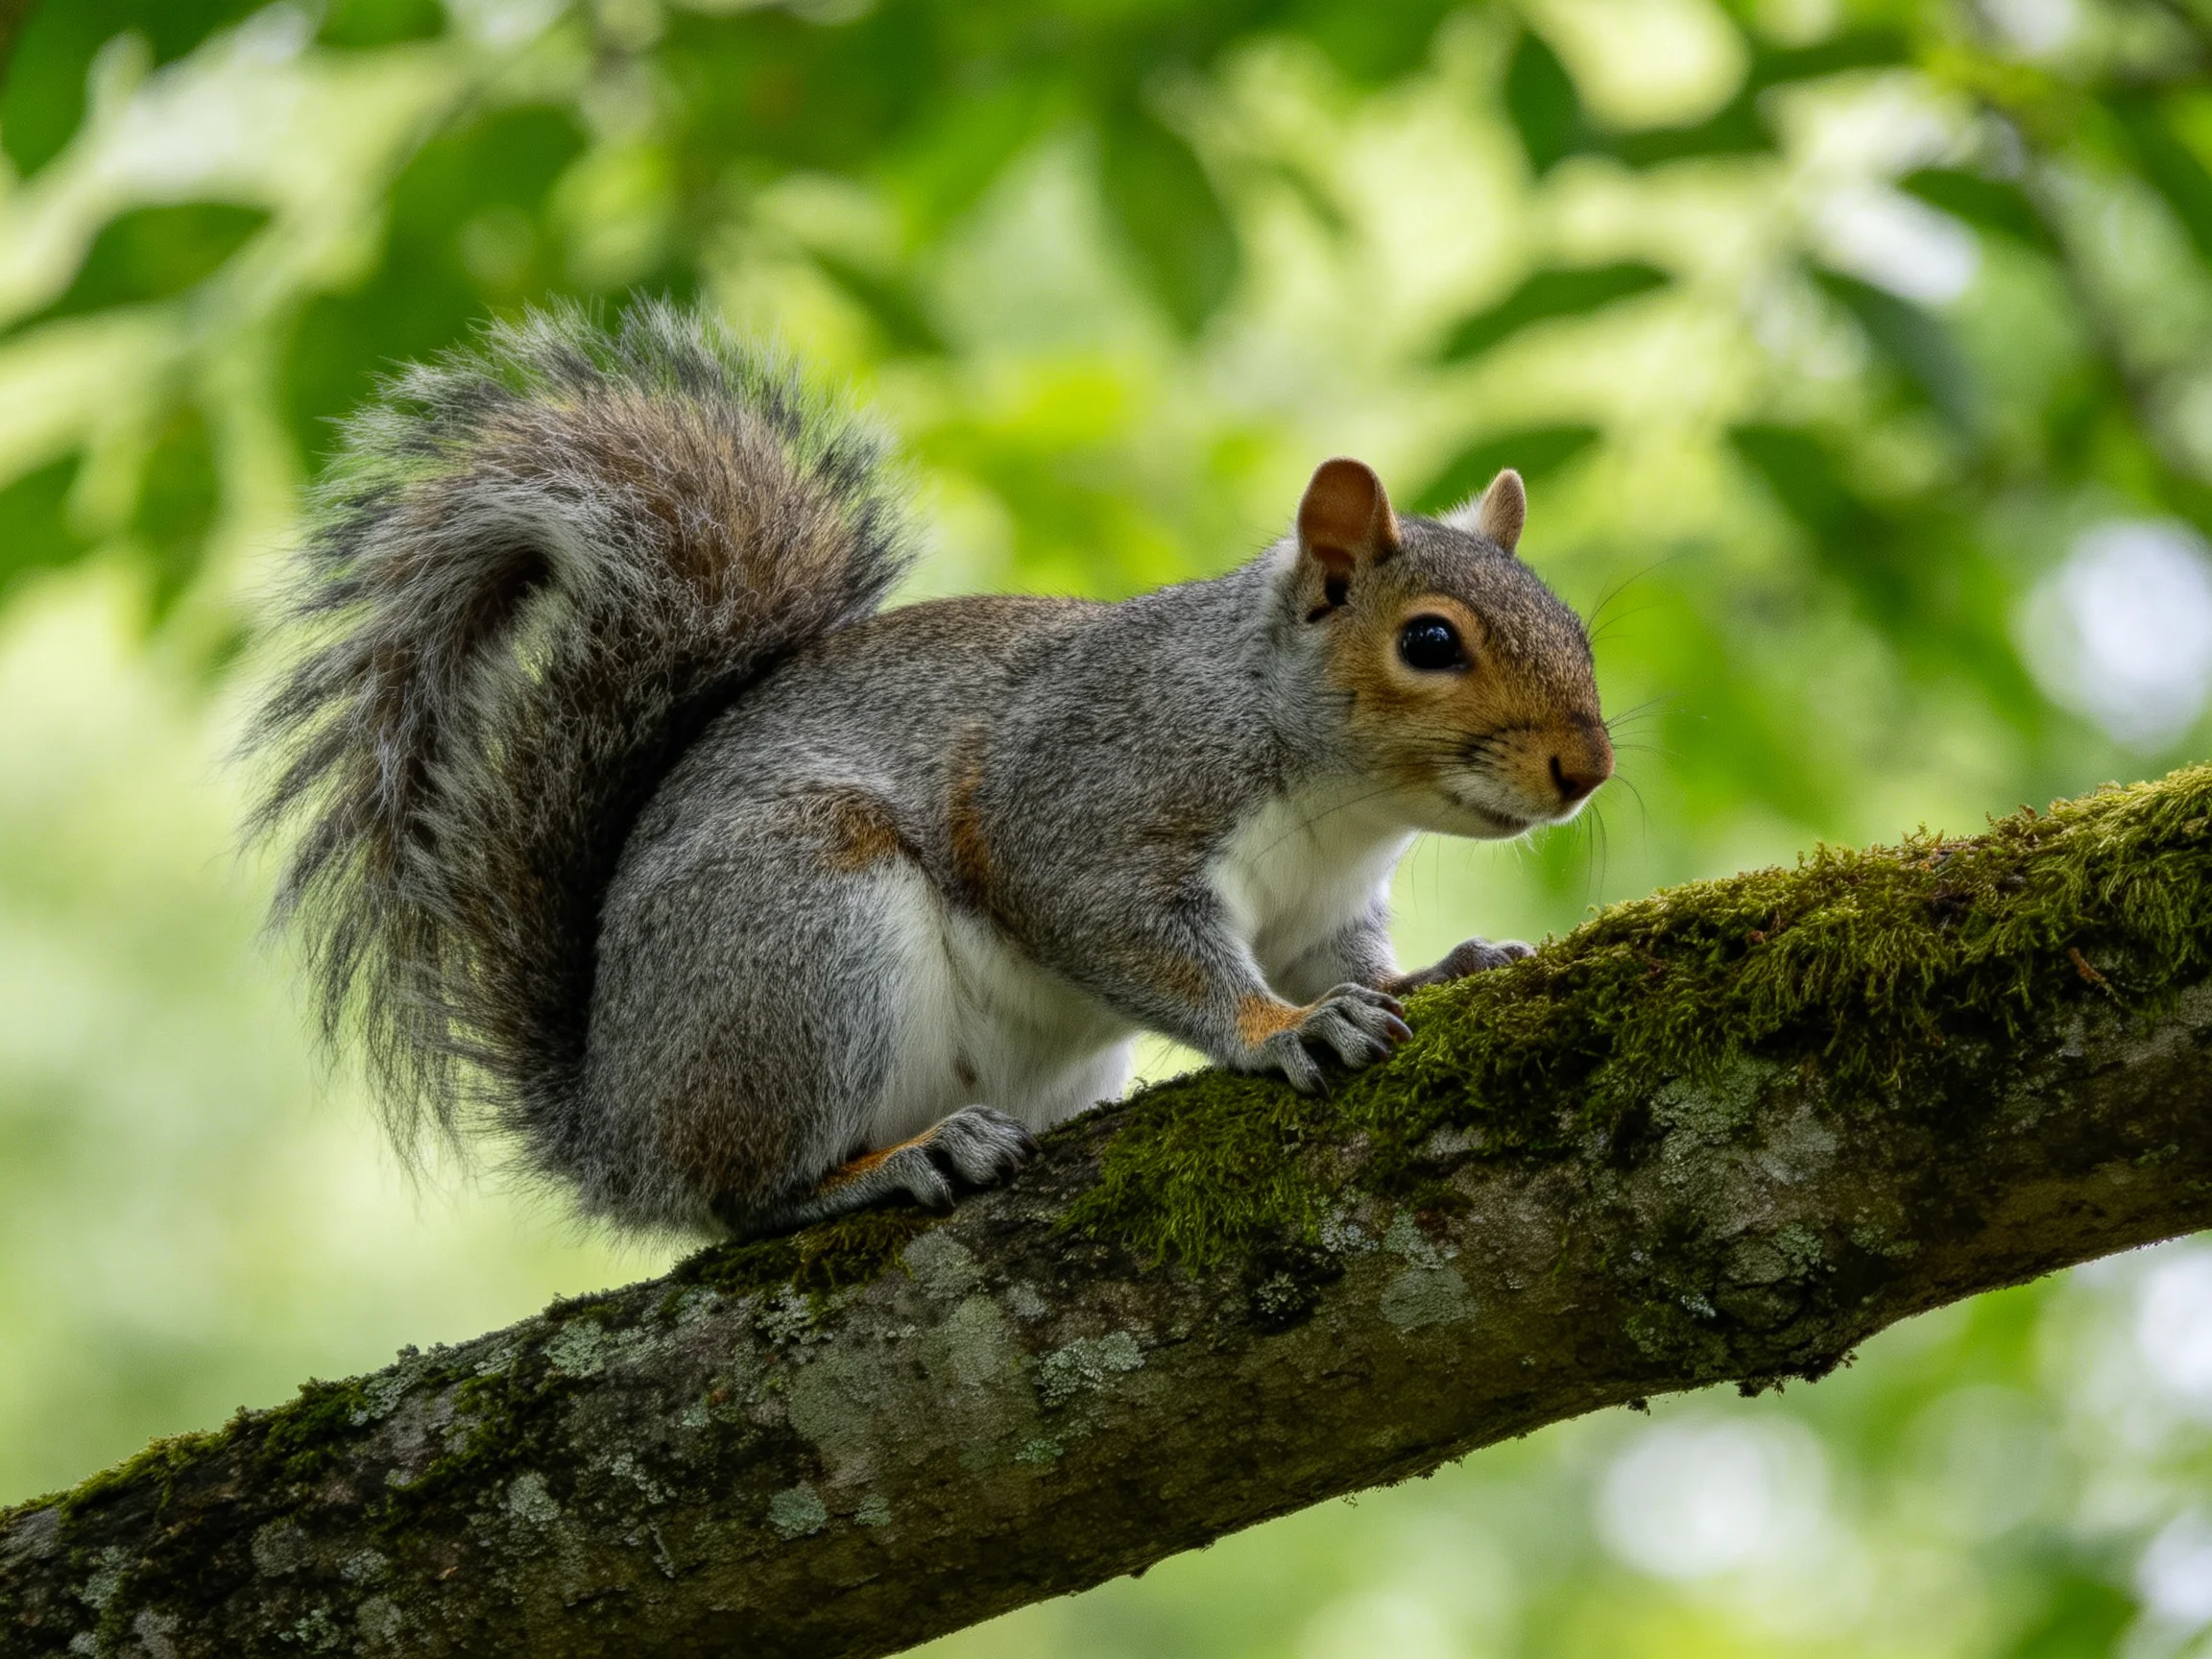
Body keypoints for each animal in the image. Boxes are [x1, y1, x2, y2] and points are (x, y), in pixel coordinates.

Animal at [249, 301, 1612, 1240]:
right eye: (1429, 642)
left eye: (1577, 627)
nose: (1586, 769)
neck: (1336, 803)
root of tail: (612, 1125)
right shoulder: (1090, 797)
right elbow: (1135, 935)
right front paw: (1284, 1030)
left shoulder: (1322, 907)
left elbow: (1346, 958)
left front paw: (1440, 968)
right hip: (799, 934)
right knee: (743, 1198)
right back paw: (891, 1164)